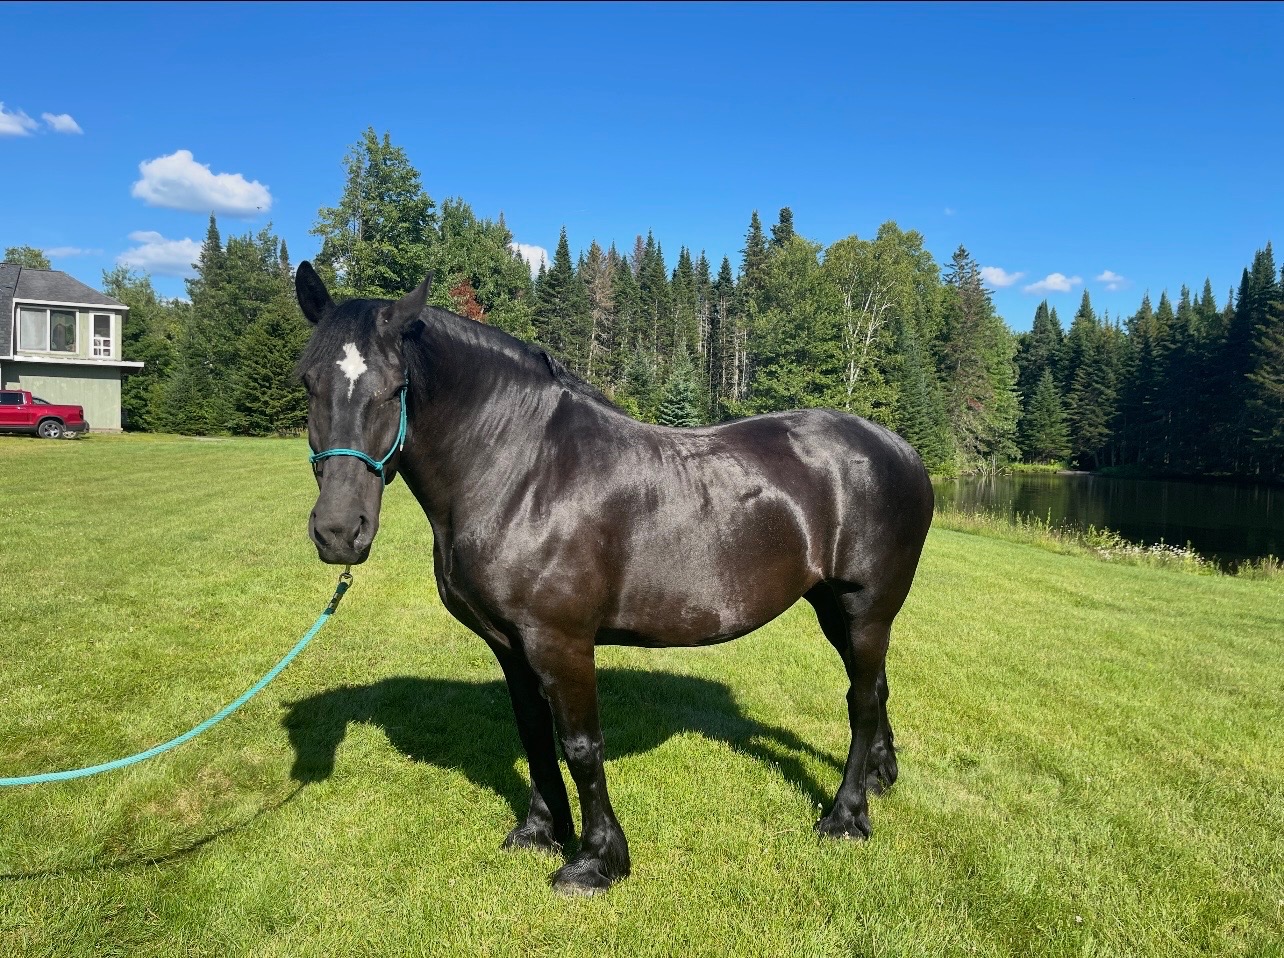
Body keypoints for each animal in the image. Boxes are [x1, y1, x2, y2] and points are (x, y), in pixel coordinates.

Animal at [294, 261, 934, 895]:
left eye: (395, 387)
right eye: (308, 382)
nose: (339, 531)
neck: (522, 471)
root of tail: (901, 450)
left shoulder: (562, 643)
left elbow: (580, 747)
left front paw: (596, 861)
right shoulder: (510, 645)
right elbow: (534, 734)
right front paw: (540, 831)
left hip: (866, 608)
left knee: (861, 698)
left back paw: (845, 815)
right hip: (832, 607)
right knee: (875, 689)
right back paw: (879, 778)